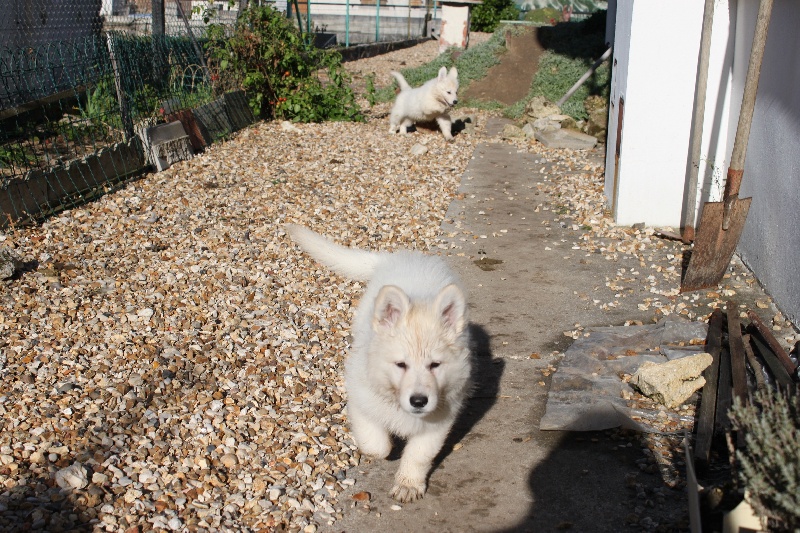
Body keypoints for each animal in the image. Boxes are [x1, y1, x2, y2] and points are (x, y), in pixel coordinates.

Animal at [286, 224, 468, 502]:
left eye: (435, 365)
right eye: (401, 365)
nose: (419, 401)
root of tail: (402, 257)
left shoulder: (439, 420)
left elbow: (418, 455)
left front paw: (408, 484)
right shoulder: (361, 400)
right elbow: (376, 445)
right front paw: (380, 450)